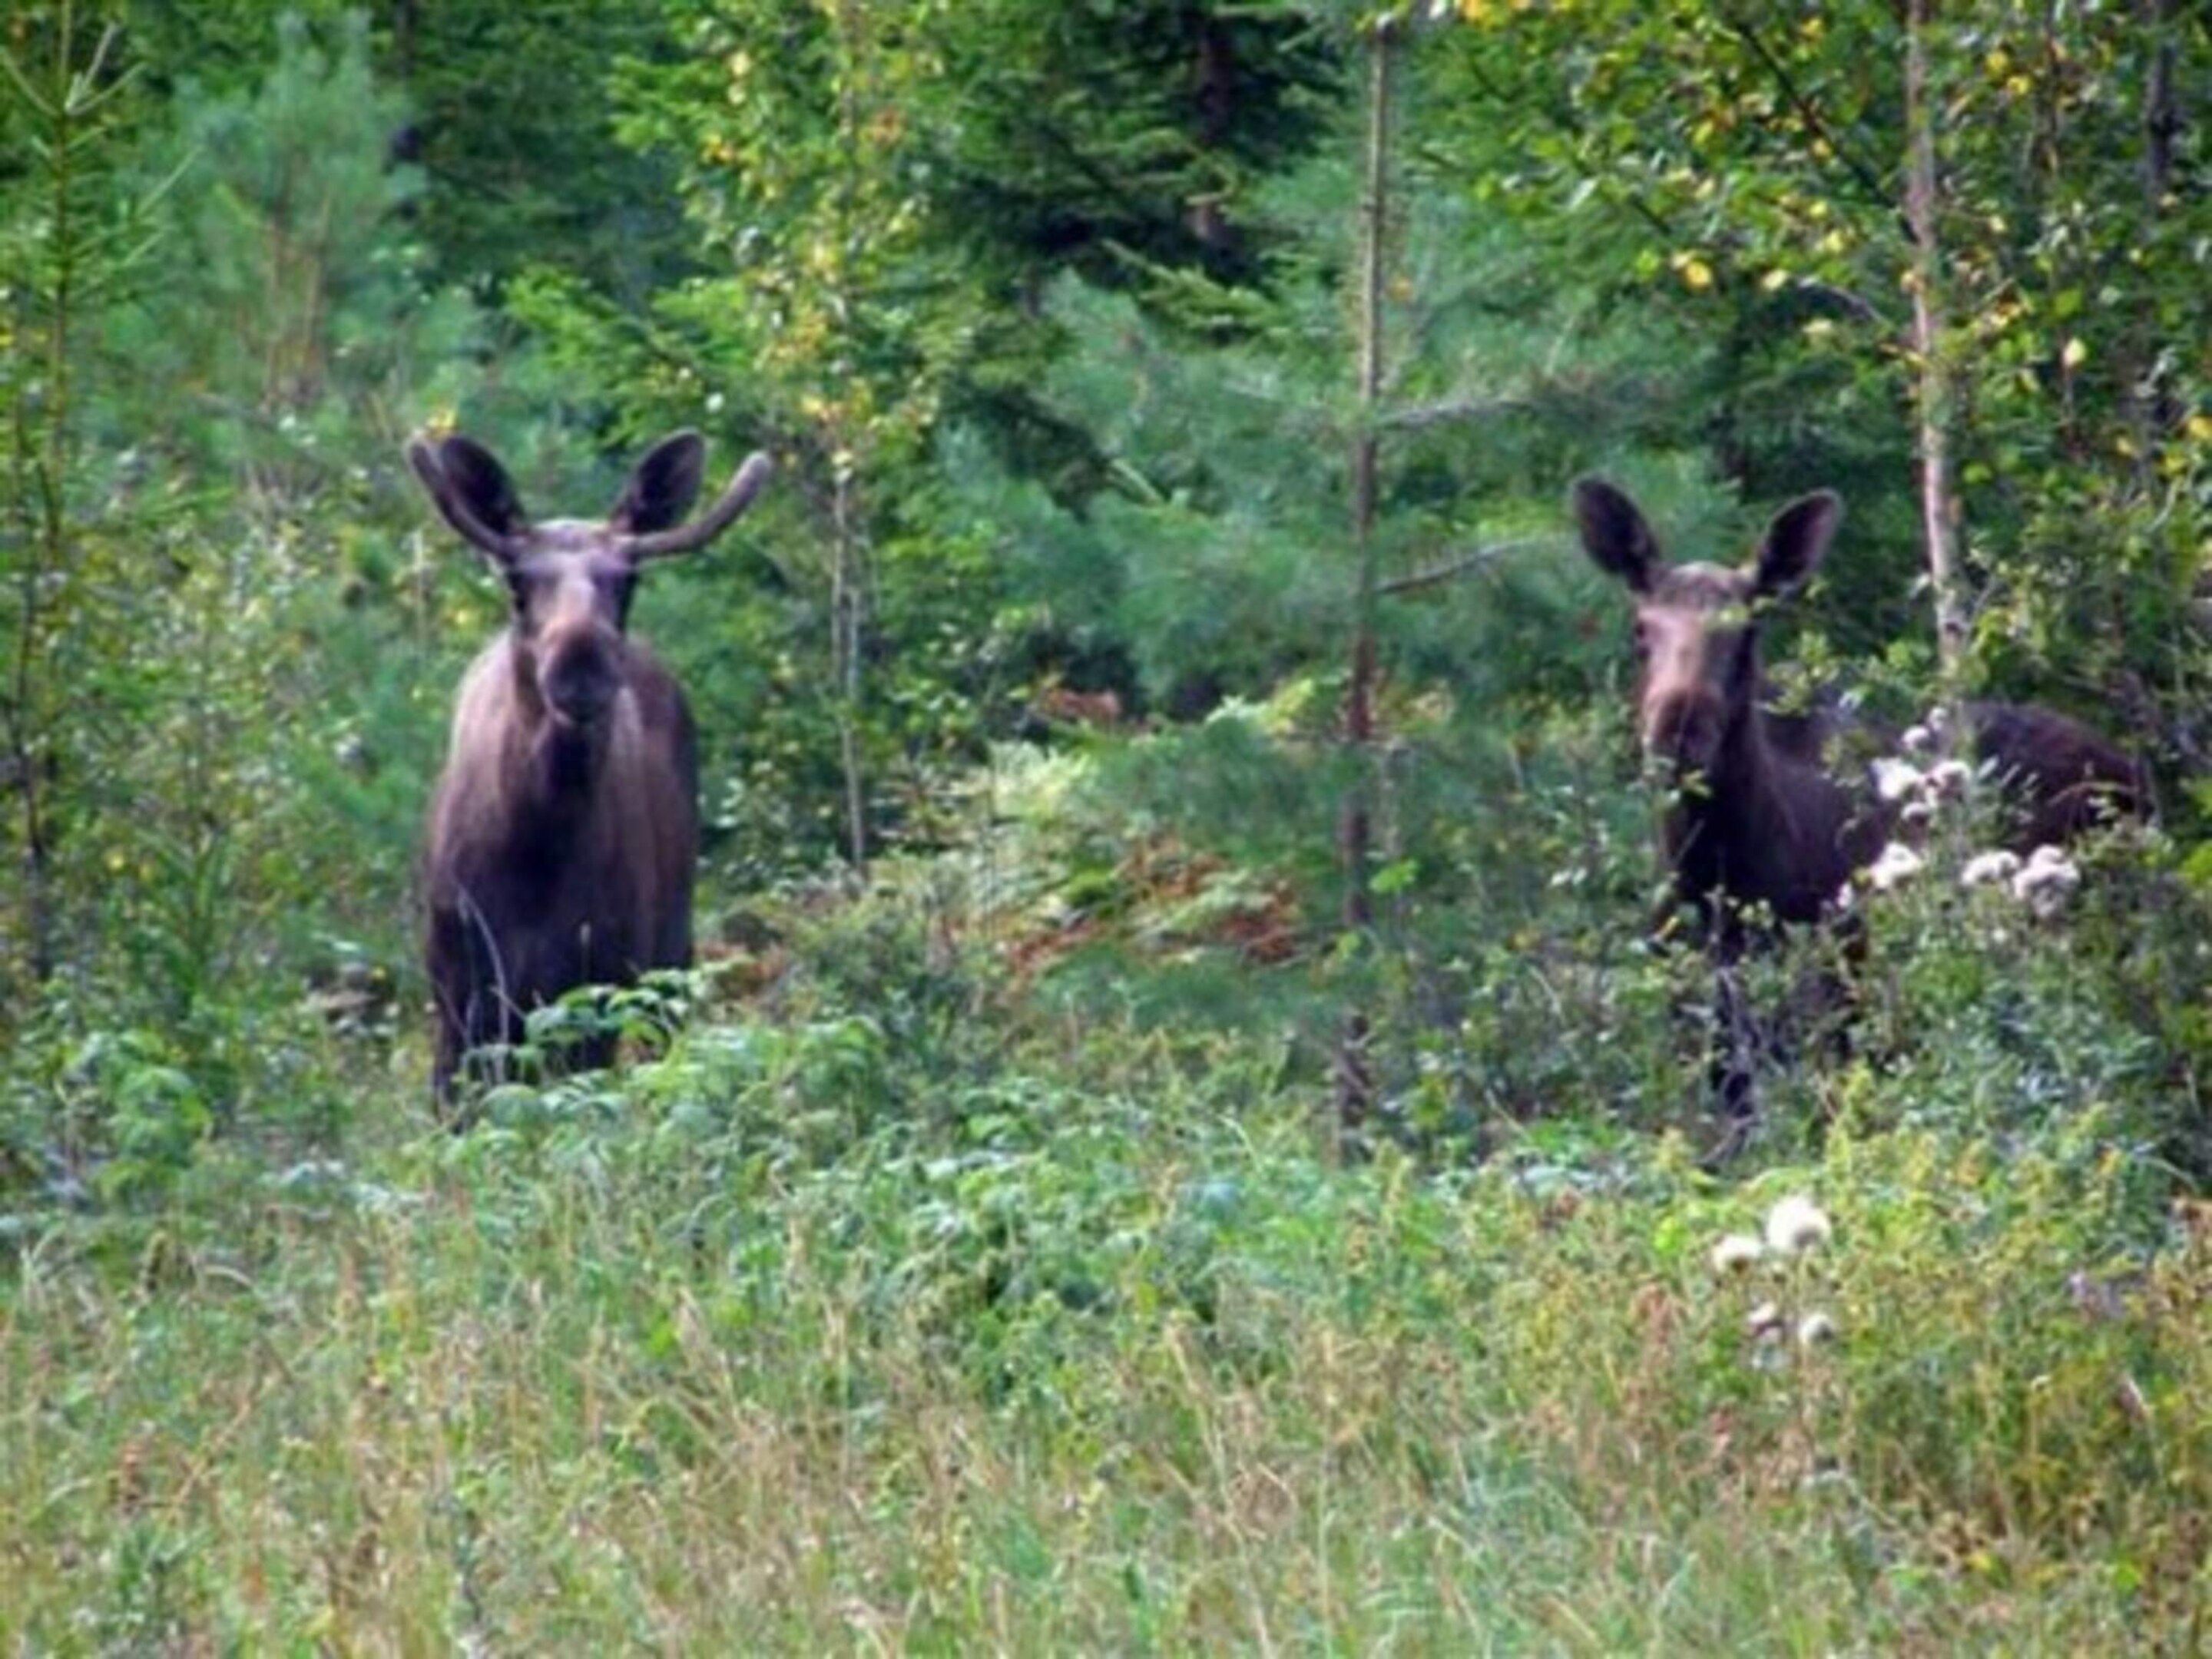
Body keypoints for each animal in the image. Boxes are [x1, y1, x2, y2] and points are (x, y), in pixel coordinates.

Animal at [407, 429, 771, 1111]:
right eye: (516, 583)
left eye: (627, 583)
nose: (581, 663)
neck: (536, 852)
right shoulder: (457, 993)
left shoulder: (596, 987)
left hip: (670, 954)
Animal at [1572, 478, 2144, 1137]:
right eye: (1641, 631)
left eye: (1747, 634)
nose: (1680, 733)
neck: (1720, 874)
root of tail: (2135, 770)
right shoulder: (1706, 1033)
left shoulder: (1835, 1016)